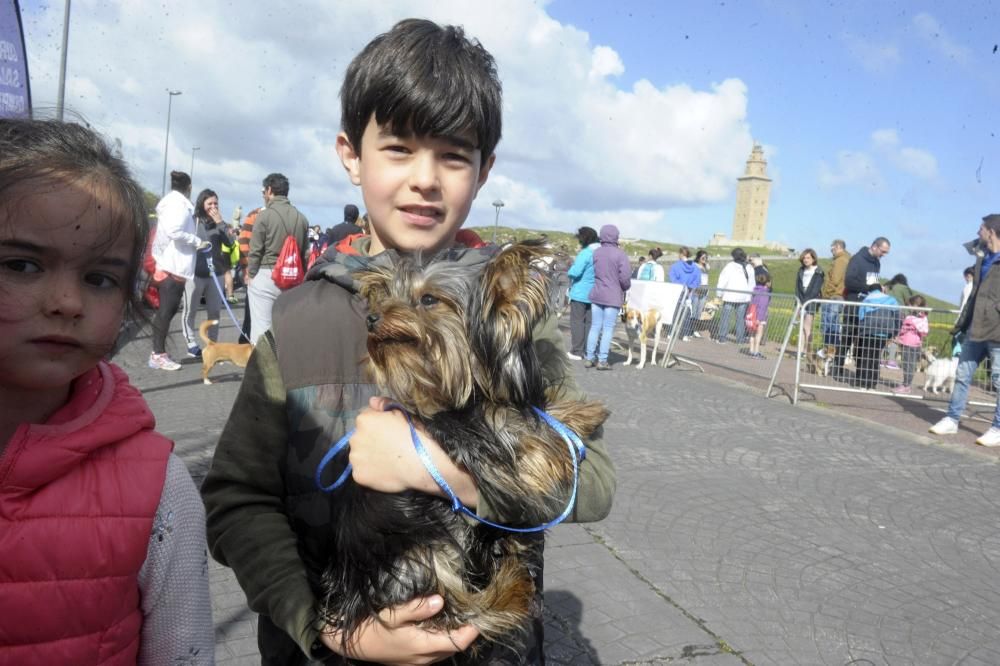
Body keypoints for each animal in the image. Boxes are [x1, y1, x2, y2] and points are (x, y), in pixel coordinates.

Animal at [318, 240, 608, 652]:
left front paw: (581, 412)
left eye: (428, 299)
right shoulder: (492, 452)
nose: (372, 318)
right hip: (424, 557)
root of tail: (355, 596)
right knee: (460, 609)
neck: (467, 391)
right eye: (386, 296)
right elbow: (534, 445)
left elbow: (539, 414)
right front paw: (571, 424)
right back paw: (511, 585)